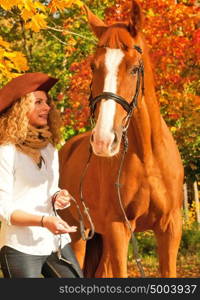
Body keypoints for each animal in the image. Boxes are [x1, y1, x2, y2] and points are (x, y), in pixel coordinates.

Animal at [58, 0, 184, 278]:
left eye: (135, 68)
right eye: (93, 66)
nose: (104, 141)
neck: (148, 156)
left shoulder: (170, 228)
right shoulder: (119, 230)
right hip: (78, 234)